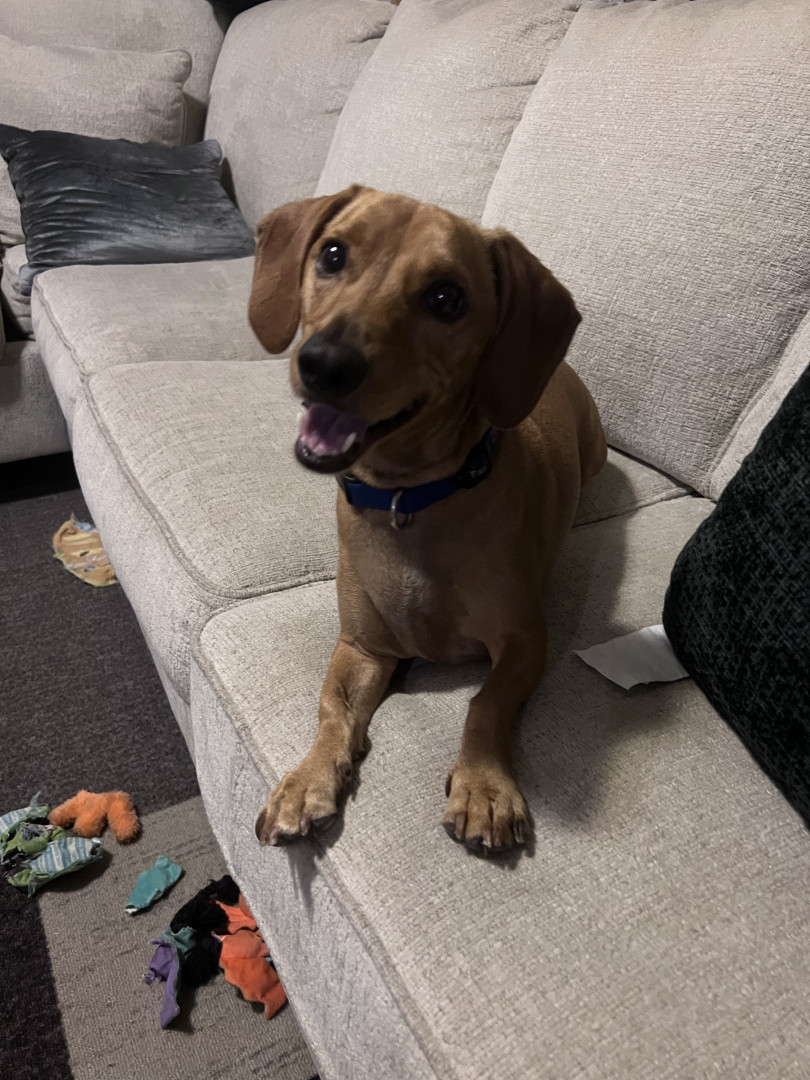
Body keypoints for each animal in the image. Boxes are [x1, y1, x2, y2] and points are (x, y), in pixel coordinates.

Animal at [248, 185, 606, 853]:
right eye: (332, 254)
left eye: (446, 298)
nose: (324, 363)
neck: (408, 501)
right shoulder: (361, 646)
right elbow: (331, 707)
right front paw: (308, 779)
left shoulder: (525, 641)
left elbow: (485, 705)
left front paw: (484, 788)